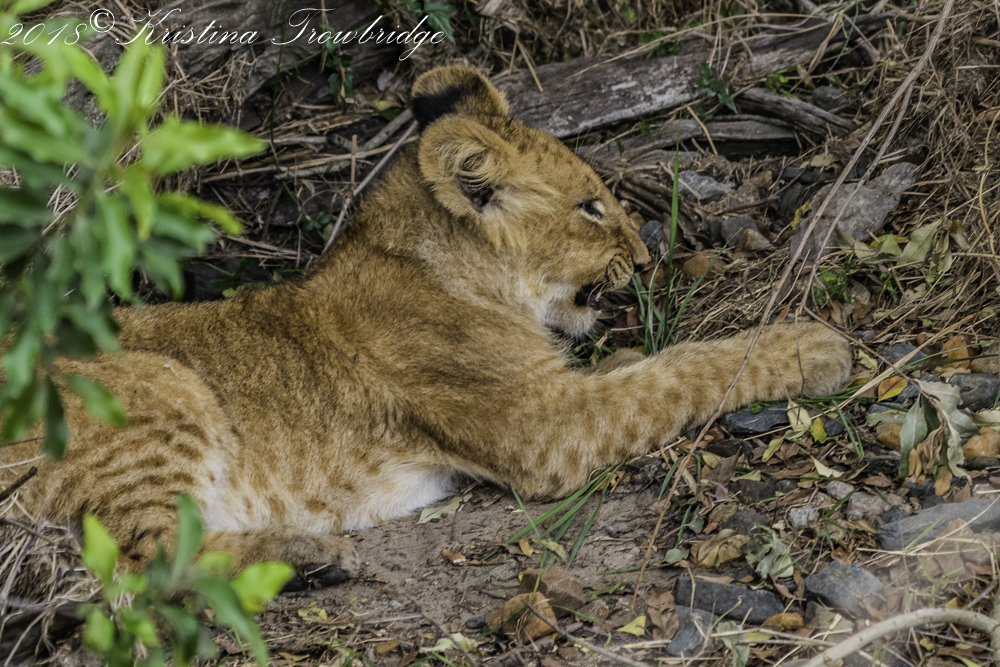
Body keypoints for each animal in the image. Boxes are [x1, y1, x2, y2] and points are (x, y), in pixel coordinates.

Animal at [0, 66, 852, 586]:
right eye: (590, 207)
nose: (645, 258)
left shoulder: (551, 388)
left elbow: (651, 362)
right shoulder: (541, 427)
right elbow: (681, 370)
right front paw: (810, 344)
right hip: (156, 386)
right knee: (141, 565)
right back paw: (308, 553)